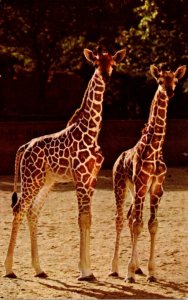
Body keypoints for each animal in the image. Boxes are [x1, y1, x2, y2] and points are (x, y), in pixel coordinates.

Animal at [4, 45, 126, 280]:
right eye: (96, 62)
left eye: (113, 63)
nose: (105, 76)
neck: (92, 132)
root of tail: (24, 147)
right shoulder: (80, 177)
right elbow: (82, 218)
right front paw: (84, 271)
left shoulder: (92, 178)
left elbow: (88, 217)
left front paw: (88, 270)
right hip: (31, 180)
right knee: (19, 209)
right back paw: (9, 269)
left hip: (46, 182)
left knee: (33, 212)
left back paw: (39, 269)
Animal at [109, 63, 186, 284]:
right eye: (160, 80)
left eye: (175, 80)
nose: (170, 91)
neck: (155, 149)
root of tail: (117, 159)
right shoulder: (143, 185)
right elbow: (138, 224)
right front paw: (129, 273)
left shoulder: (157, 188)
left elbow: (152, 224)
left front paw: (151, 272)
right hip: (121, 186)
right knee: (120, 218)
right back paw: (115, 268)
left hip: (135, 191)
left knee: (129, 217)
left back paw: (138, 268)